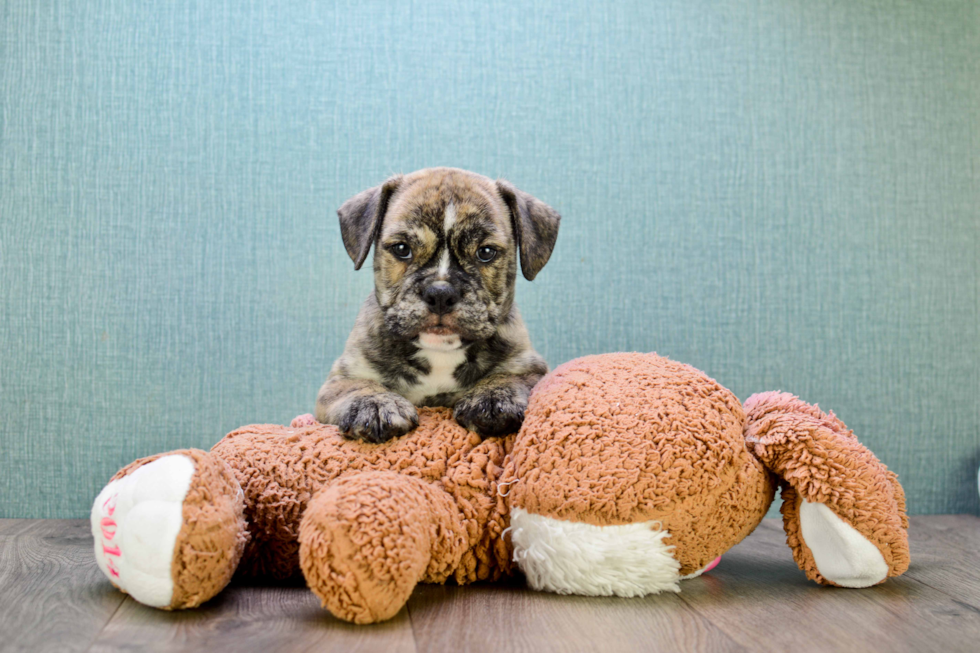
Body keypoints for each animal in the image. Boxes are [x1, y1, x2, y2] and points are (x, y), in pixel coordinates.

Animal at [314, 167, 560, 444]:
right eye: (401, 248)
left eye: (486, 252)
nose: (440, 294)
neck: (439, 352)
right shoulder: (339, 380)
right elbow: (358, 386)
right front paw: (375, 405)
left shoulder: (532, 368)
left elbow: (508, 377)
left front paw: (493, 397)